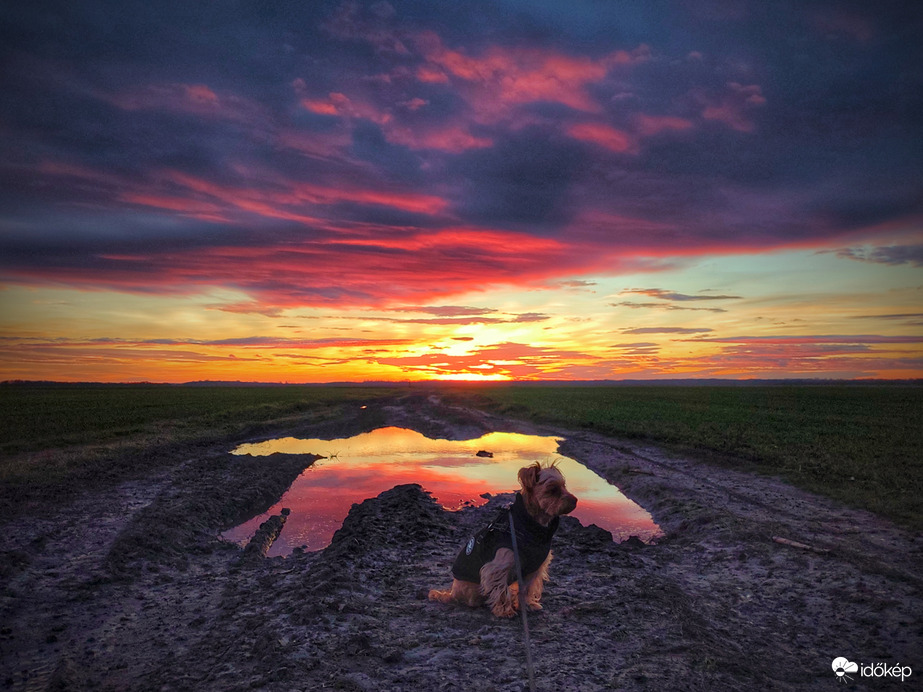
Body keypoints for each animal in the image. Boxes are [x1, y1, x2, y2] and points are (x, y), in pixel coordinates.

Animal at [428, 462, 572, 620]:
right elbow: (501, 589)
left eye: (564, 486)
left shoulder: (534, 569)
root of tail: (452, 593)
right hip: (472, 589)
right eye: (552, 490)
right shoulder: (497, 568)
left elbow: (527, 589)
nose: (575, 501)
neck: (532, 526)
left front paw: (527, 605)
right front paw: (505, 611)